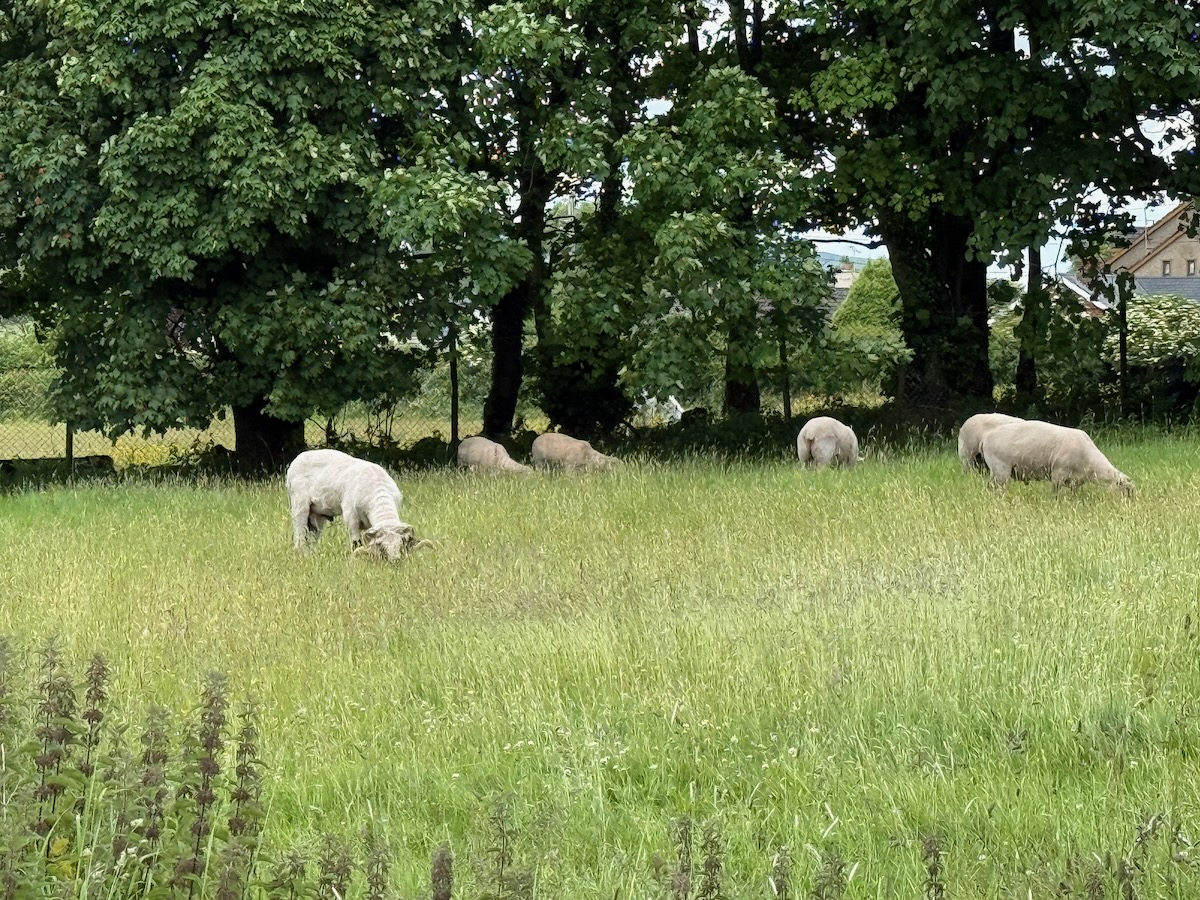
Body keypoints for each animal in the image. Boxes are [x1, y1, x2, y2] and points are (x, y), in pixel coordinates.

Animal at [286, 448, 431, 560]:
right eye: (381, 546)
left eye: (401, 544)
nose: (395, 560)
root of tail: (297, 459)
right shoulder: (351, 516)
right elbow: (356, 543)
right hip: (299, 503)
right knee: (299, 535)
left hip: (317, 514)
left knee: (311, 537)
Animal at [980, 420, 1133, 495]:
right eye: (1126, 491)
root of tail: (985, 439)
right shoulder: (1058, 475)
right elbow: (1055, 494)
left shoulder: (1075, 481)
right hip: (1000, 469)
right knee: (997, 488)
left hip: (996, 472)